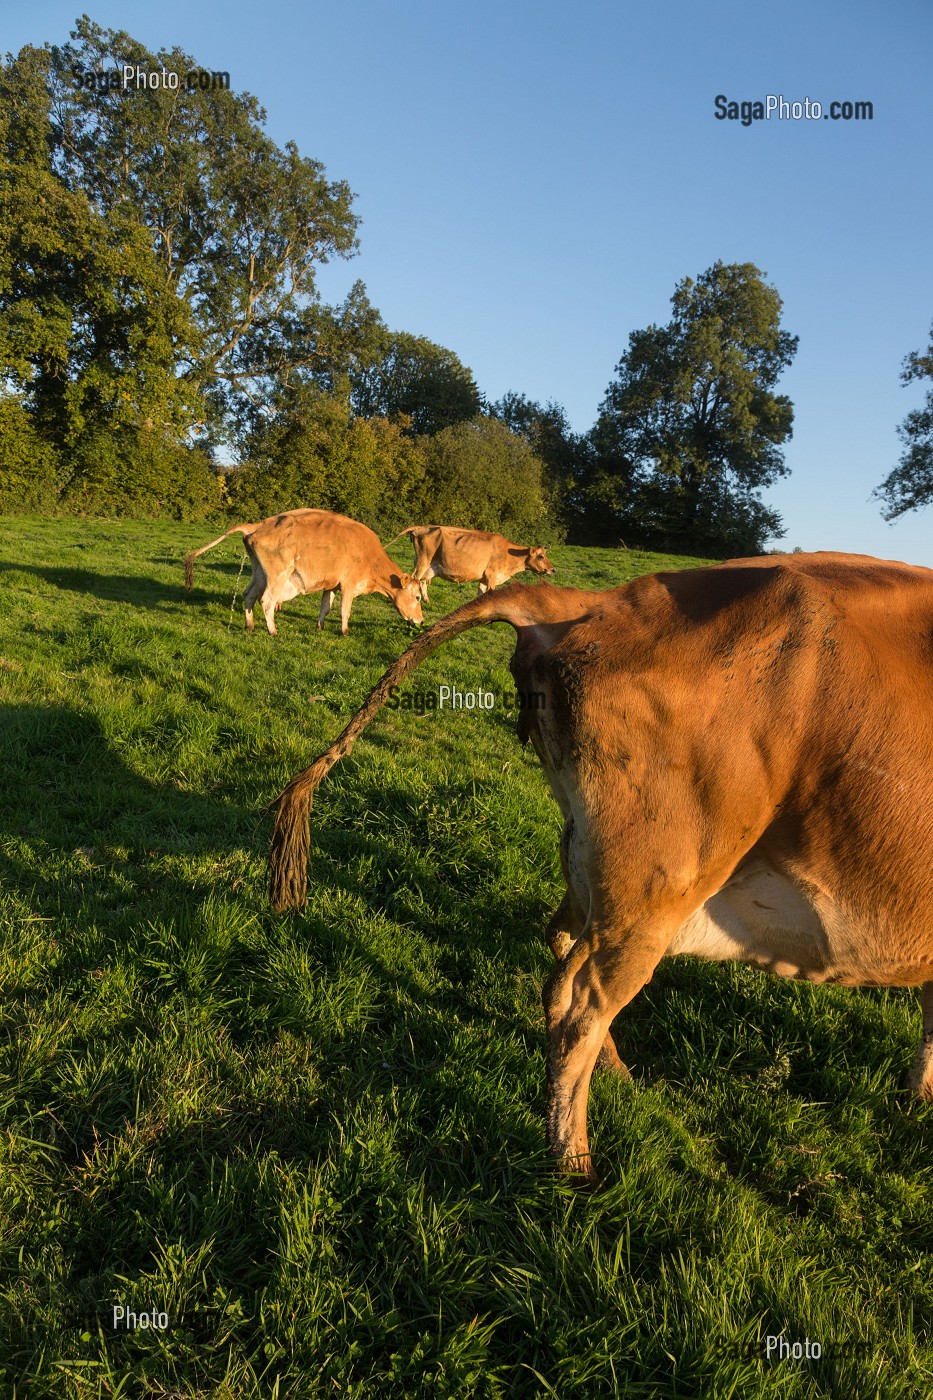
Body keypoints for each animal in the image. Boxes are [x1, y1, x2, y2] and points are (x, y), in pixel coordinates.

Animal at [184, 509, 424, 636]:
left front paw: (320, 626)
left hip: (259, 573)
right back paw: (272, 631)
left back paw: (249, 625)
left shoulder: (331, 585)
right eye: (418, 597)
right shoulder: (348, 585)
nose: (421, 621)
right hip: (277, 575)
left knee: (249, 595)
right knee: (267, 601)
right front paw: (344, 632)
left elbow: (326, 607)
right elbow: (345, 611)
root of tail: (260, 524)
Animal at [268, 553, 933, 1183]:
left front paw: (918, 1095)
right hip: (656, 889)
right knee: (578, 1008)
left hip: (592, 860)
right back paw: (574, 1162)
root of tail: (593, 601)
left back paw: (614, 1073)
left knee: (563, 954)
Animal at [385, 525, 555, 602]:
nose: (553, 570)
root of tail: (422, 527)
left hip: (428, 565)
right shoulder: (491, 575)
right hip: (423, 561)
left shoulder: (484, 578)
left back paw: (427, 600)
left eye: (545, 555)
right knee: (414, 579)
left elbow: (481, 594)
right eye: (541, 556)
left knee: (421, 581)